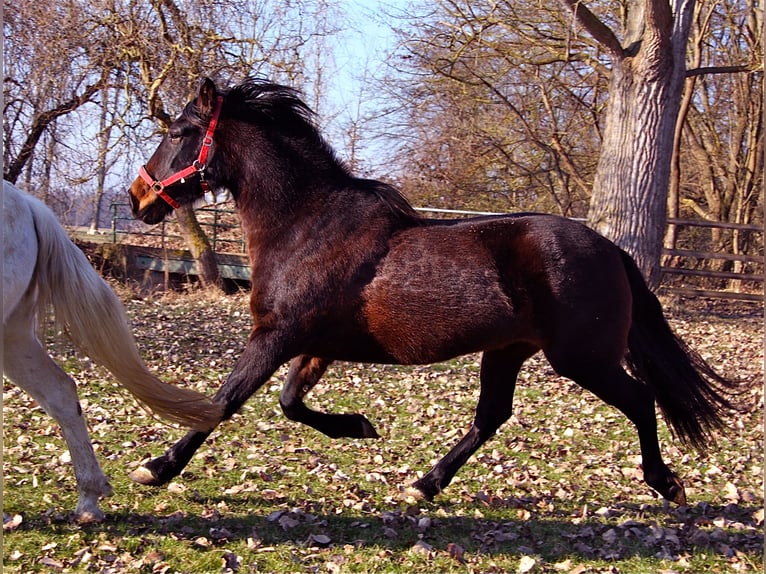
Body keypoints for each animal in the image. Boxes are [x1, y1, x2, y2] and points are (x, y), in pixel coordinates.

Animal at [130, 77, 736, 508]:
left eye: (178, 132)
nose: (139, 197)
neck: (305, 225)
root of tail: (611, 250)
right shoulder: (314, 344)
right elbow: (289, 403)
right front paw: (359, 427)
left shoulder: (276, 335)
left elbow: (224, 401)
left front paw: (157, 468)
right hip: (508, 350)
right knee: (491, 415)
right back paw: (425, 483)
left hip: (581, 358)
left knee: (640, 399)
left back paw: (667, 484)